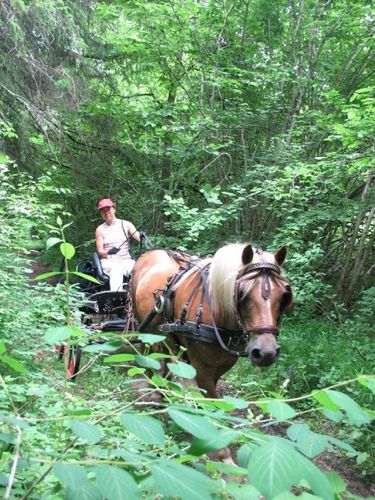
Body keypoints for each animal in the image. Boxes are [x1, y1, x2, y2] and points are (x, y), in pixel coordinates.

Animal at [132, 242, 294, 398]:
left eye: (284, 295)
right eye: (242, 293)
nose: (266, 353)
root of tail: (150, 252)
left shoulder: (222, 365)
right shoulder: (201, 369)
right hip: (144, 329)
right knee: (147, 352)